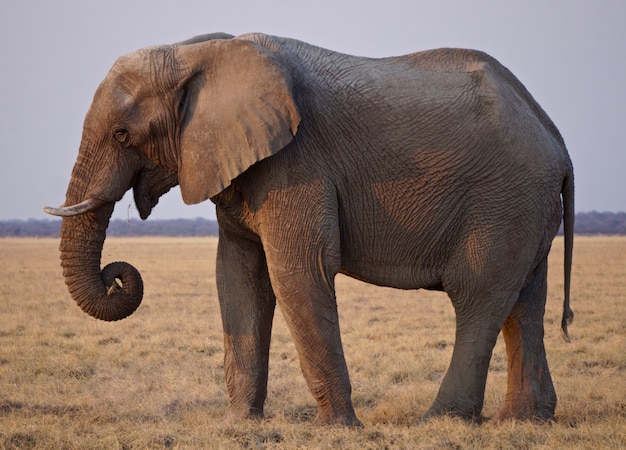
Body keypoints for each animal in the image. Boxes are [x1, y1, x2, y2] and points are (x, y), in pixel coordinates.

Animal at [42, 31, 572, 426]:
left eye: (122, 135)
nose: (117, 275)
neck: (200, 53)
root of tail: (557, 140)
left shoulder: (296, 162)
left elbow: (299, 269)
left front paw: (339, 428)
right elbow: (239, 276)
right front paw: (240, 425)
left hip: (504, 199)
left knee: (478, 295)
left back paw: (439, 421)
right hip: (525, 206)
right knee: (525, 302)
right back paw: (525, 421)